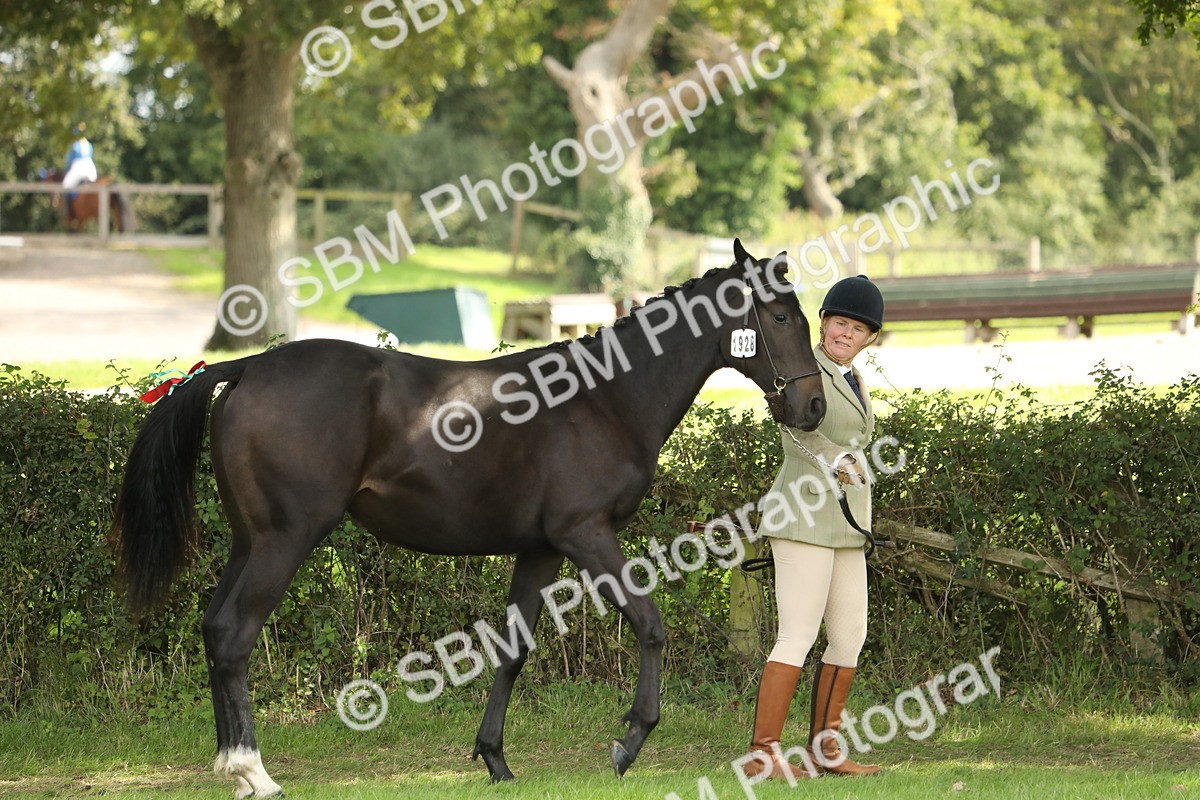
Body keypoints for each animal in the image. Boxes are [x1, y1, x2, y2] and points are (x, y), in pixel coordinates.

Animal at [112, 238, 828, 798]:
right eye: (781, 314)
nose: (815, 406)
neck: (604, 399)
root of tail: (248, 366)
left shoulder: (540, 548)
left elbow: (512, 650)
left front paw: (496, 760)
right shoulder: (586, 534)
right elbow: (649, 625)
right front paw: (628, 743)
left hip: (249, 541)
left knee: (214, 628)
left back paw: (232, 767)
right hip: (284, 540)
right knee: (235, 634)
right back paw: (253, 772)